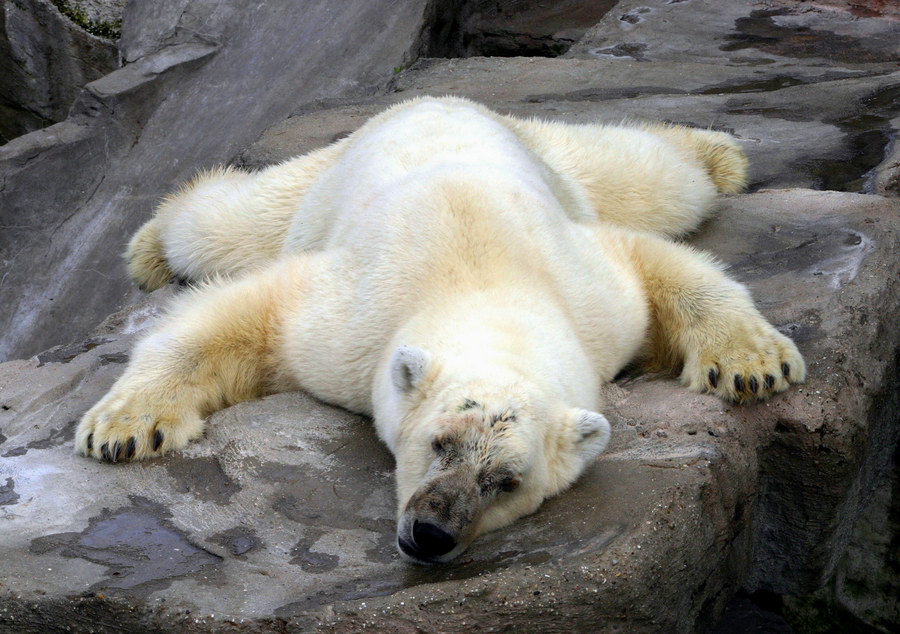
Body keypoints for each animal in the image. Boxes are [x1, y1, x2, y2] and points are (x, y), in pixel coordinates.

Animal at [77, 97, 804, 564]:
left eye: (508, 482)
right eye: (438, 442)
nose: (431, 534)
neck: (481, 286)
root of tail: (434, 96)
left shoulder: (593, 297)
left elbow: (658, 262)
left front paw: (752, 366)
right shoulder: (348, 318)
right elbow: (246, 309)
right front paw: (125, 429)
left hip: (555, 163)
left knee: (659, 185)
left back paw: (719, 153)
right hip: (316, 183)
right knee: (220, 226)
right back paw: (149, 246)